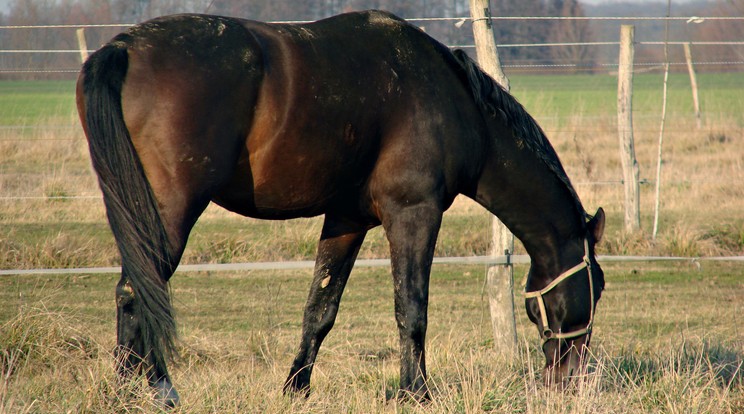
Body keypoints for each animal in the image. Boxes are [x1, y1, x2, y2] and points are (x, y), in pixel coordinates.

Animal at [77, 10, 604, 408]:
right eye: (596, 287)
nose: (571, 379)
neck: (454, 101)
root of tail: (123, 48)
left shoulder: (347, 220)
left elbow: (320, 308)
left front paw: (296, 389)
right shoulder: (414, 213)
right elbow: (411, 307)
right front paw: (416, 392)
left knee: (133, 290)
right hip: (167, 212)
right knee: (139, 289)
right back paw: (154, 389)